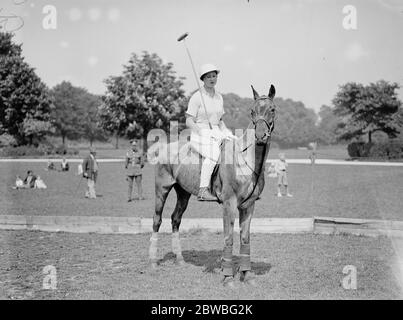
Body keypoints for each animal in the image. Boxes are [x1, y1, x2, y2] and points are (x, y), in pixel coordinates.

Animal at [148, 85, 278, 288]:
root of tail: (162, 147)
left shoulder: (249, 205)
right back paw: (153, 263)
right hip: (162, 189)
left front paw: (247, 275)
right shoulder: (229, 204)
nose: (260, 137)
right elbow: (228, 238)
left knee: (175, 219)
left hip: (183, 193)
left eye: (272, 109)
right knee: (157, 220)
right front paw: (228, 278)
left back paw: (180, 260)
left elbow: (245, 238)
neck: (246, 160)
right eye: (252, 111)